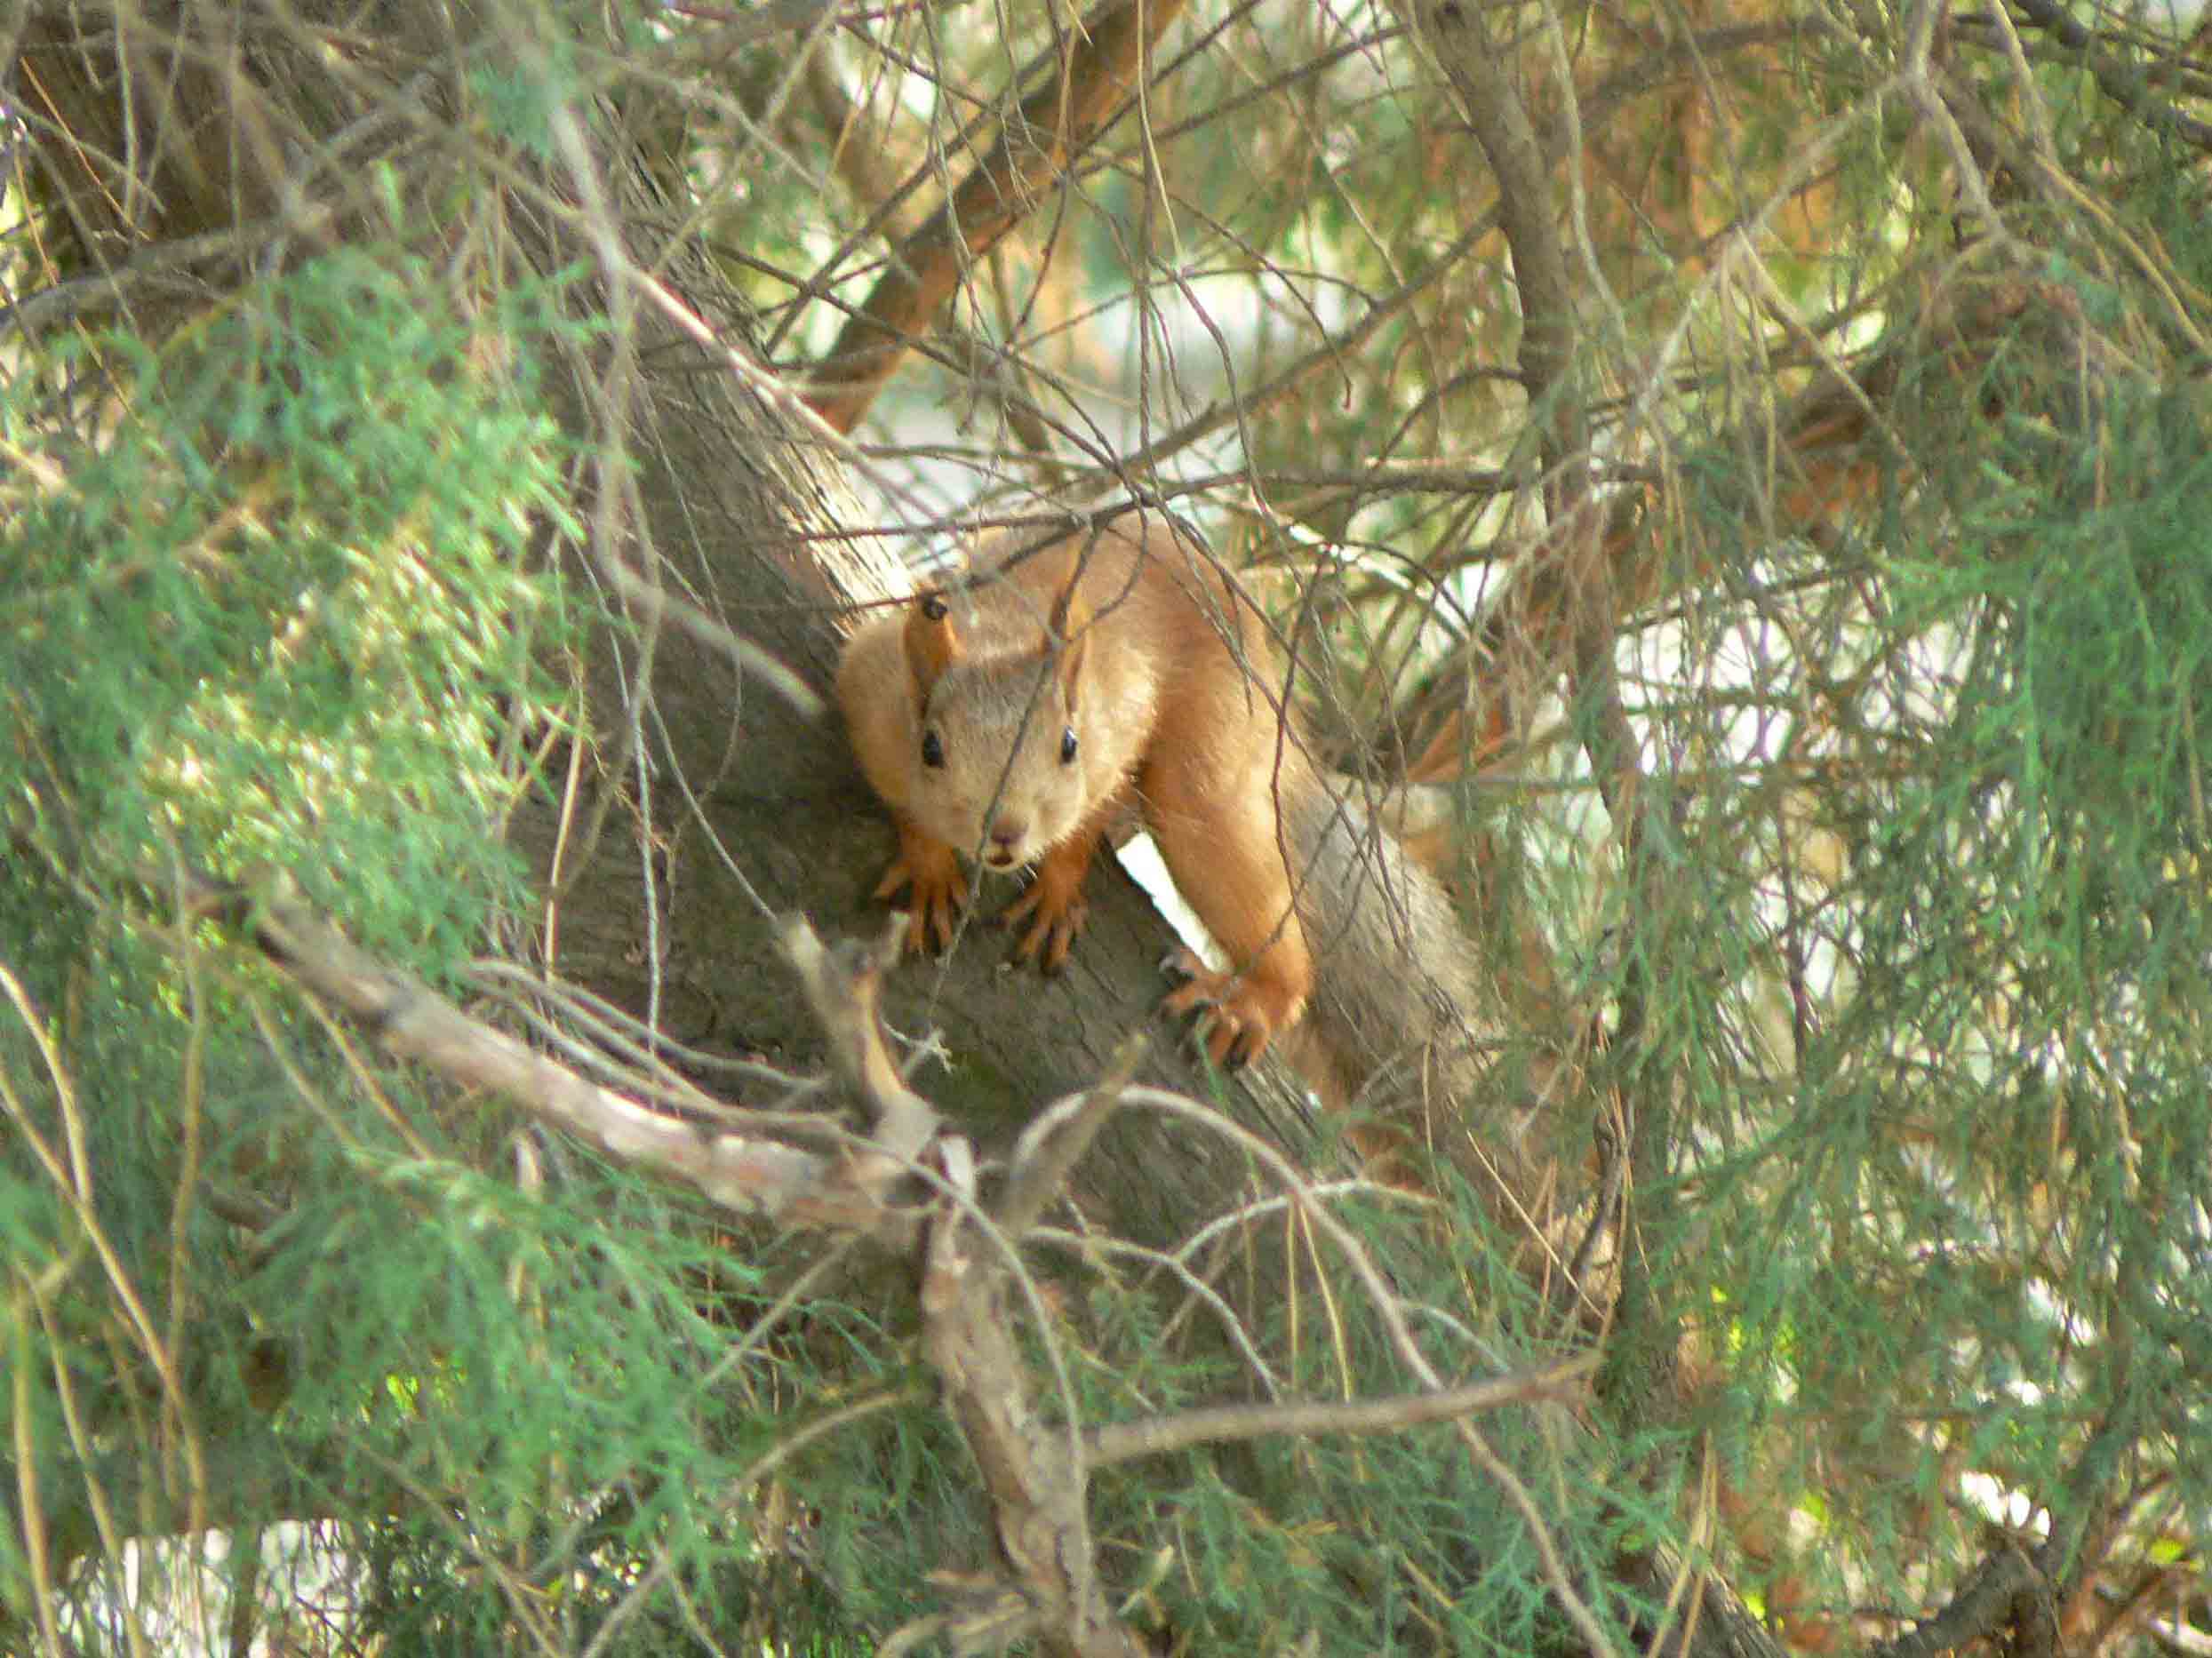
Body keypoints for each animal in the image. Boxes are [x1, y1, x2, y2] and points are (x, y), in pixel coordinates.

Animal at [831, 513, 1486, 1109]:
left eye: (1068, 744)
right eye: (930, 748)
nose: (1005, 833)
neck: (1002, 629)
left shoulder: (1120, 722)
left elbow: (1088, 813)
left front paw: (1058, 889)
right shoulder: (869, 690)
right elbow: (906, 806)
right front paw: (929, 871)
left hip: (1211, 763)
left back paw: (1254, 1000)